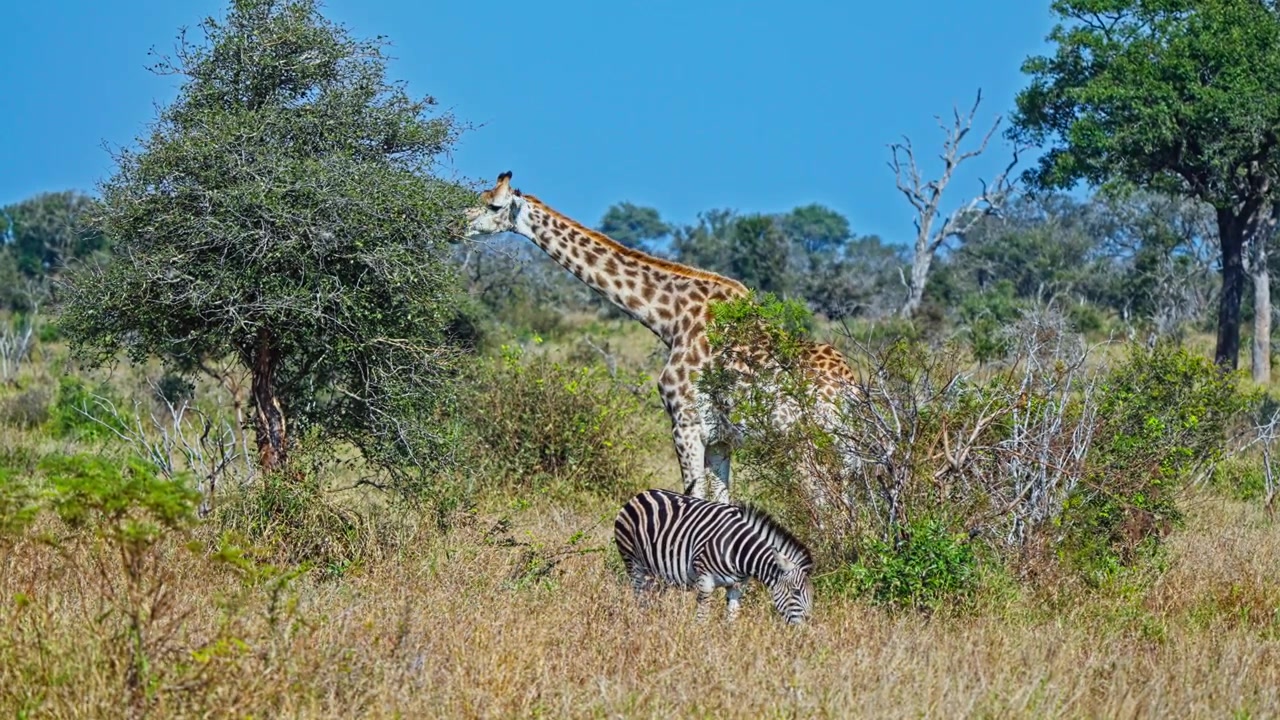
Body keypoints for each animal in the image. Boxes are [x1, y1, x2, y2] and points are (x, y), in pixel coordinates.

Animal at [613, 487, 815, 624]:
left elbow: (731, 620)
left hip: (657, 573)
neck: (738, 550)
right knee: (639, 598)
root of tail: (641, 494)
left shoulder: (737, 587)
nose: (807, 627)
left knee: (652, 600)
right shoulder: (705, 582)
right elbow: (701, 619)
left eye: (811, 594)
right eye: (796, 592)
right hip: (633, 562)